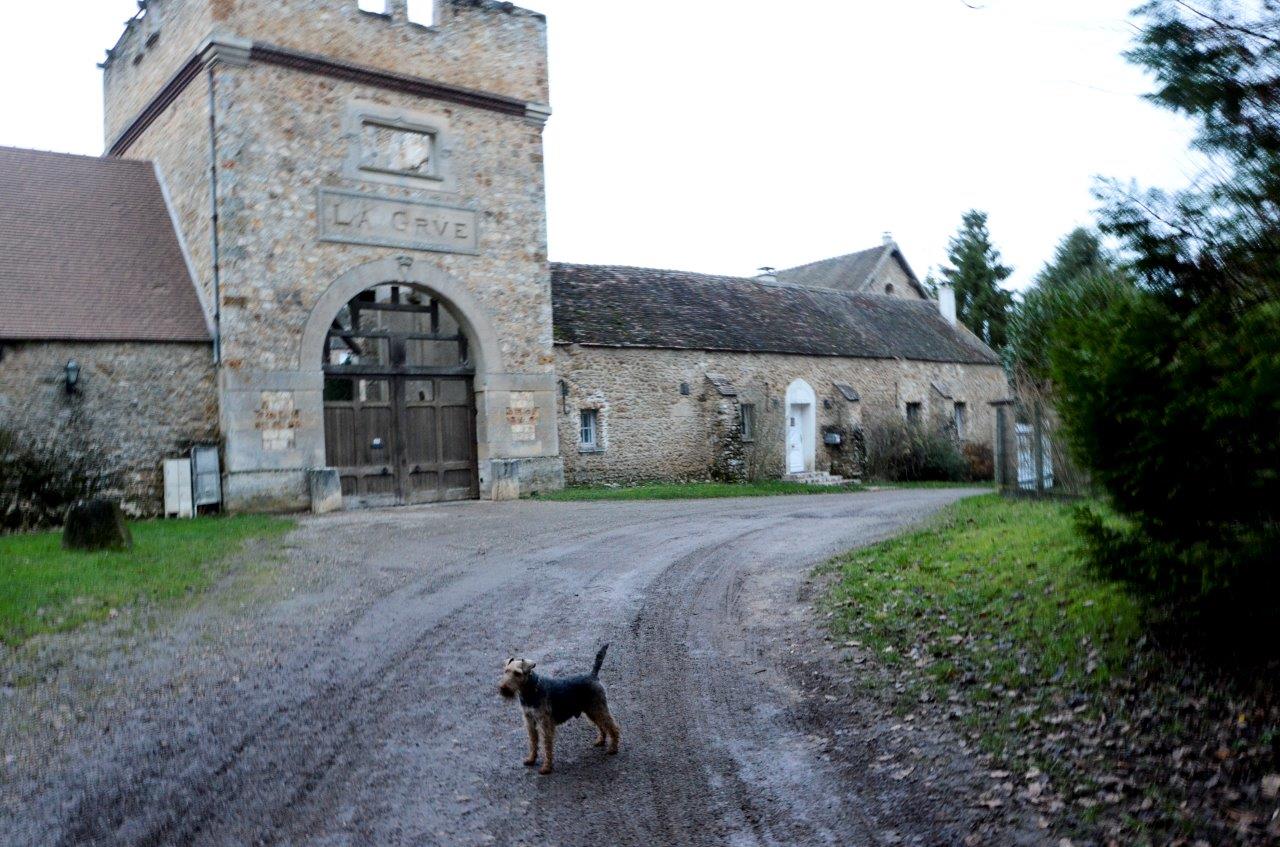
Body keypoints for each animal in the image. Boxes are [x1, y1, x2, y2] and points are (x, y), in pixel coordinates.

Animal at [499, 644, 619, 777]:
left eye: (517, 673)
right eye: (506, 671)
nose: (503, 688)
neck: (531, 691)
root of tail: (593, 675)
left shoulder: (544, 724)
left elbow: (546, 746)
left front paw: (546, 768)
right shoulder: (529, 721)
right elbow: (533, 742)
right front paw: (531, 759)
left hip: (598, 708)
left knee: (613, 727)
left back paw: (613, 748)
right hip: (591, 711)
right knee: (602, 726)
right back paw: (600, 741)